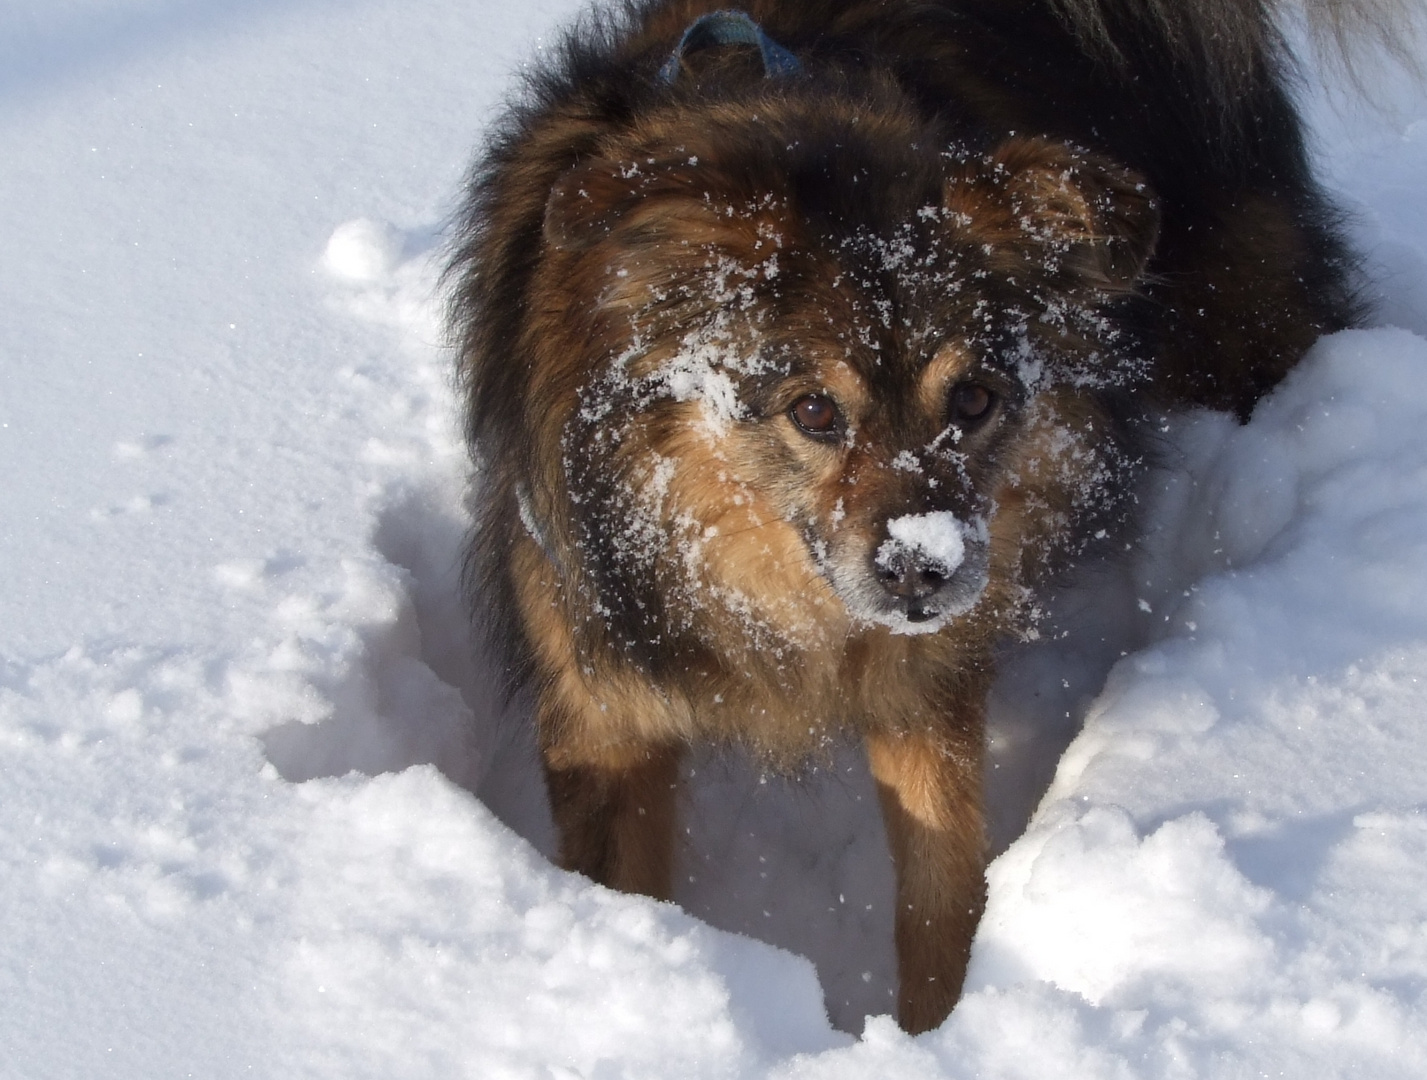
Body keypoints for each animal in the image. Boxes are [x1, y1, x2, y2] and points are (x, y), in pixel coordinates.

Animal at [453, 0, 1392, 1032]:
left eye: (974, 400)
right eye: (813, 411)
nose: (920, 572)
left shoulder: (928, 681)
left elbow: (940, 888)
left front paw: (939, 1032)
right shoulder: (600, 697)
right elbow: (623, 878)